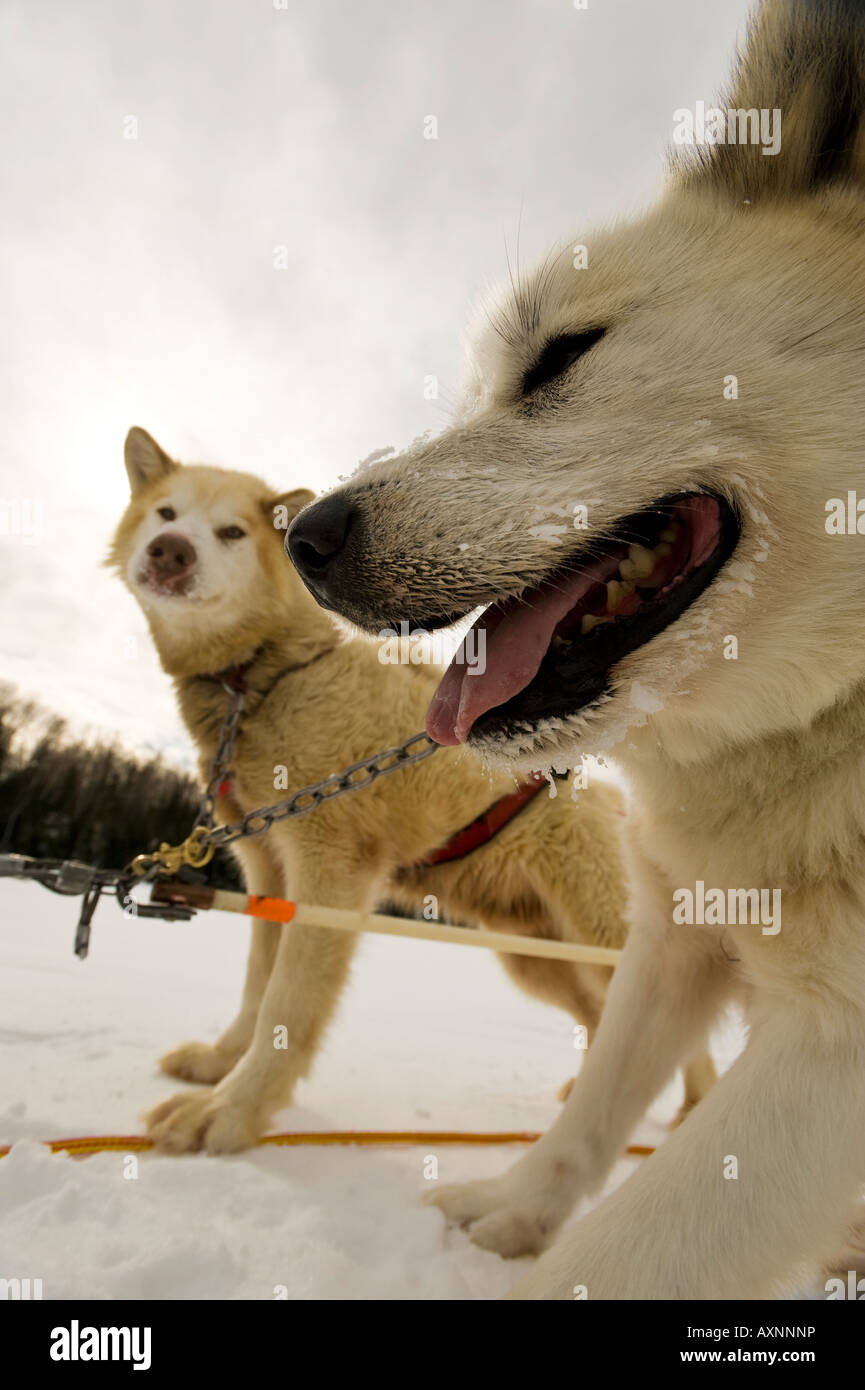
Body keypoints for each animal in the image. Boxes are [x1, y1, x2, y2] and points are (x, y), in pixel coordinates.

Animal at [109, 428, 717, 1156]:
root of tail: (610, 796)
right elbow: (256, 993)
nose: (170, 551)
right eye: (166, 513)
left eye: (231, 532)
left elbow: (287, 1007)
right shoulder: (269, 879)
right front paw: (217, 1066)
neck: (267, 677)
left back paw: (694, 1110)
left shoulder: (330, 881)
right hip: (530, 954)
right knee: (601, 1017)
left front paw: (230, 1114)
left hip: (604, 937)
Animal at [286, 2, 865, 1301]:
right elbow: (597, 1101)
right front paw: (509, 1208)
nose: (307, 535)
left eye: (559, 356)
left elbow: (631, 1247)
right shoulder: (675, 931)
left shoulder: (831, 1053)